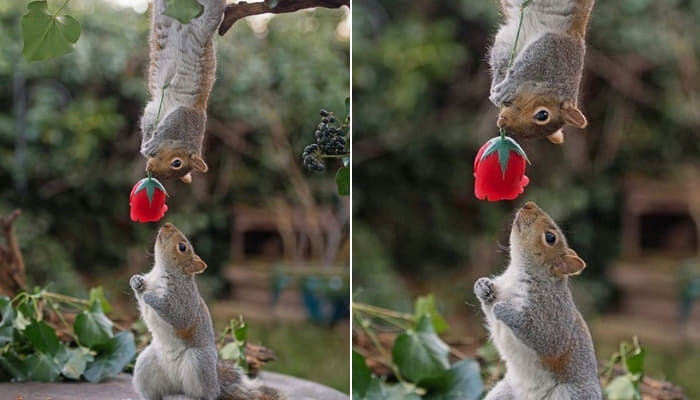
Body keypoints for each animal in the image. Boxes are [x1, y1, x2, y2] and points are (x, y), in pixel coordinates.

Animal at [130, 223, 286, 400]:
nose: (166, 225)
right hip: (145, 364)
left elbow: (179, 316)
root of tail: (216, 385)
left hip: (199, 362)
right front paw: (136, 281)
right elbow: (142, 300)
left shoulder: (184, 300)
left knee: (204, 394)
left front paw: (150, 297)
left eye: (182, 247)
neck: (161, 272)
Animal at [137, 0, 224, 184]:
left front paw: (148, 143)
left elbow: (150, 120)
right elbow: (168, 126)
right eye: (177, 163)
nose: (149, 169)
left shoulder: (157, 109)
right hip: (210, 16)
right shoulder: (187, 116)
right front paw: (152, 143)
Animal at [474, 203, 604, 400]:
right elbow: (490, 313)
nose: (529, 205)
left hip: (571, 395)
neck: (517, 272)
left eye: (550, 238)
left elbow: (543, 336)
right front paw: (482, 286)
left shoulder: (552, 311)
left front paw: (504, 310)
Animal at [486, 0, 596, 144]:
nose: (502, 122)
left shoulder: (511, 37)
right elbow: (523, 68)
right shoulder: (554, 49)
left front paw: (500, 85)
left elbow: (503, 56)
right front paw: (503, 87)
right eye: (542, 115)